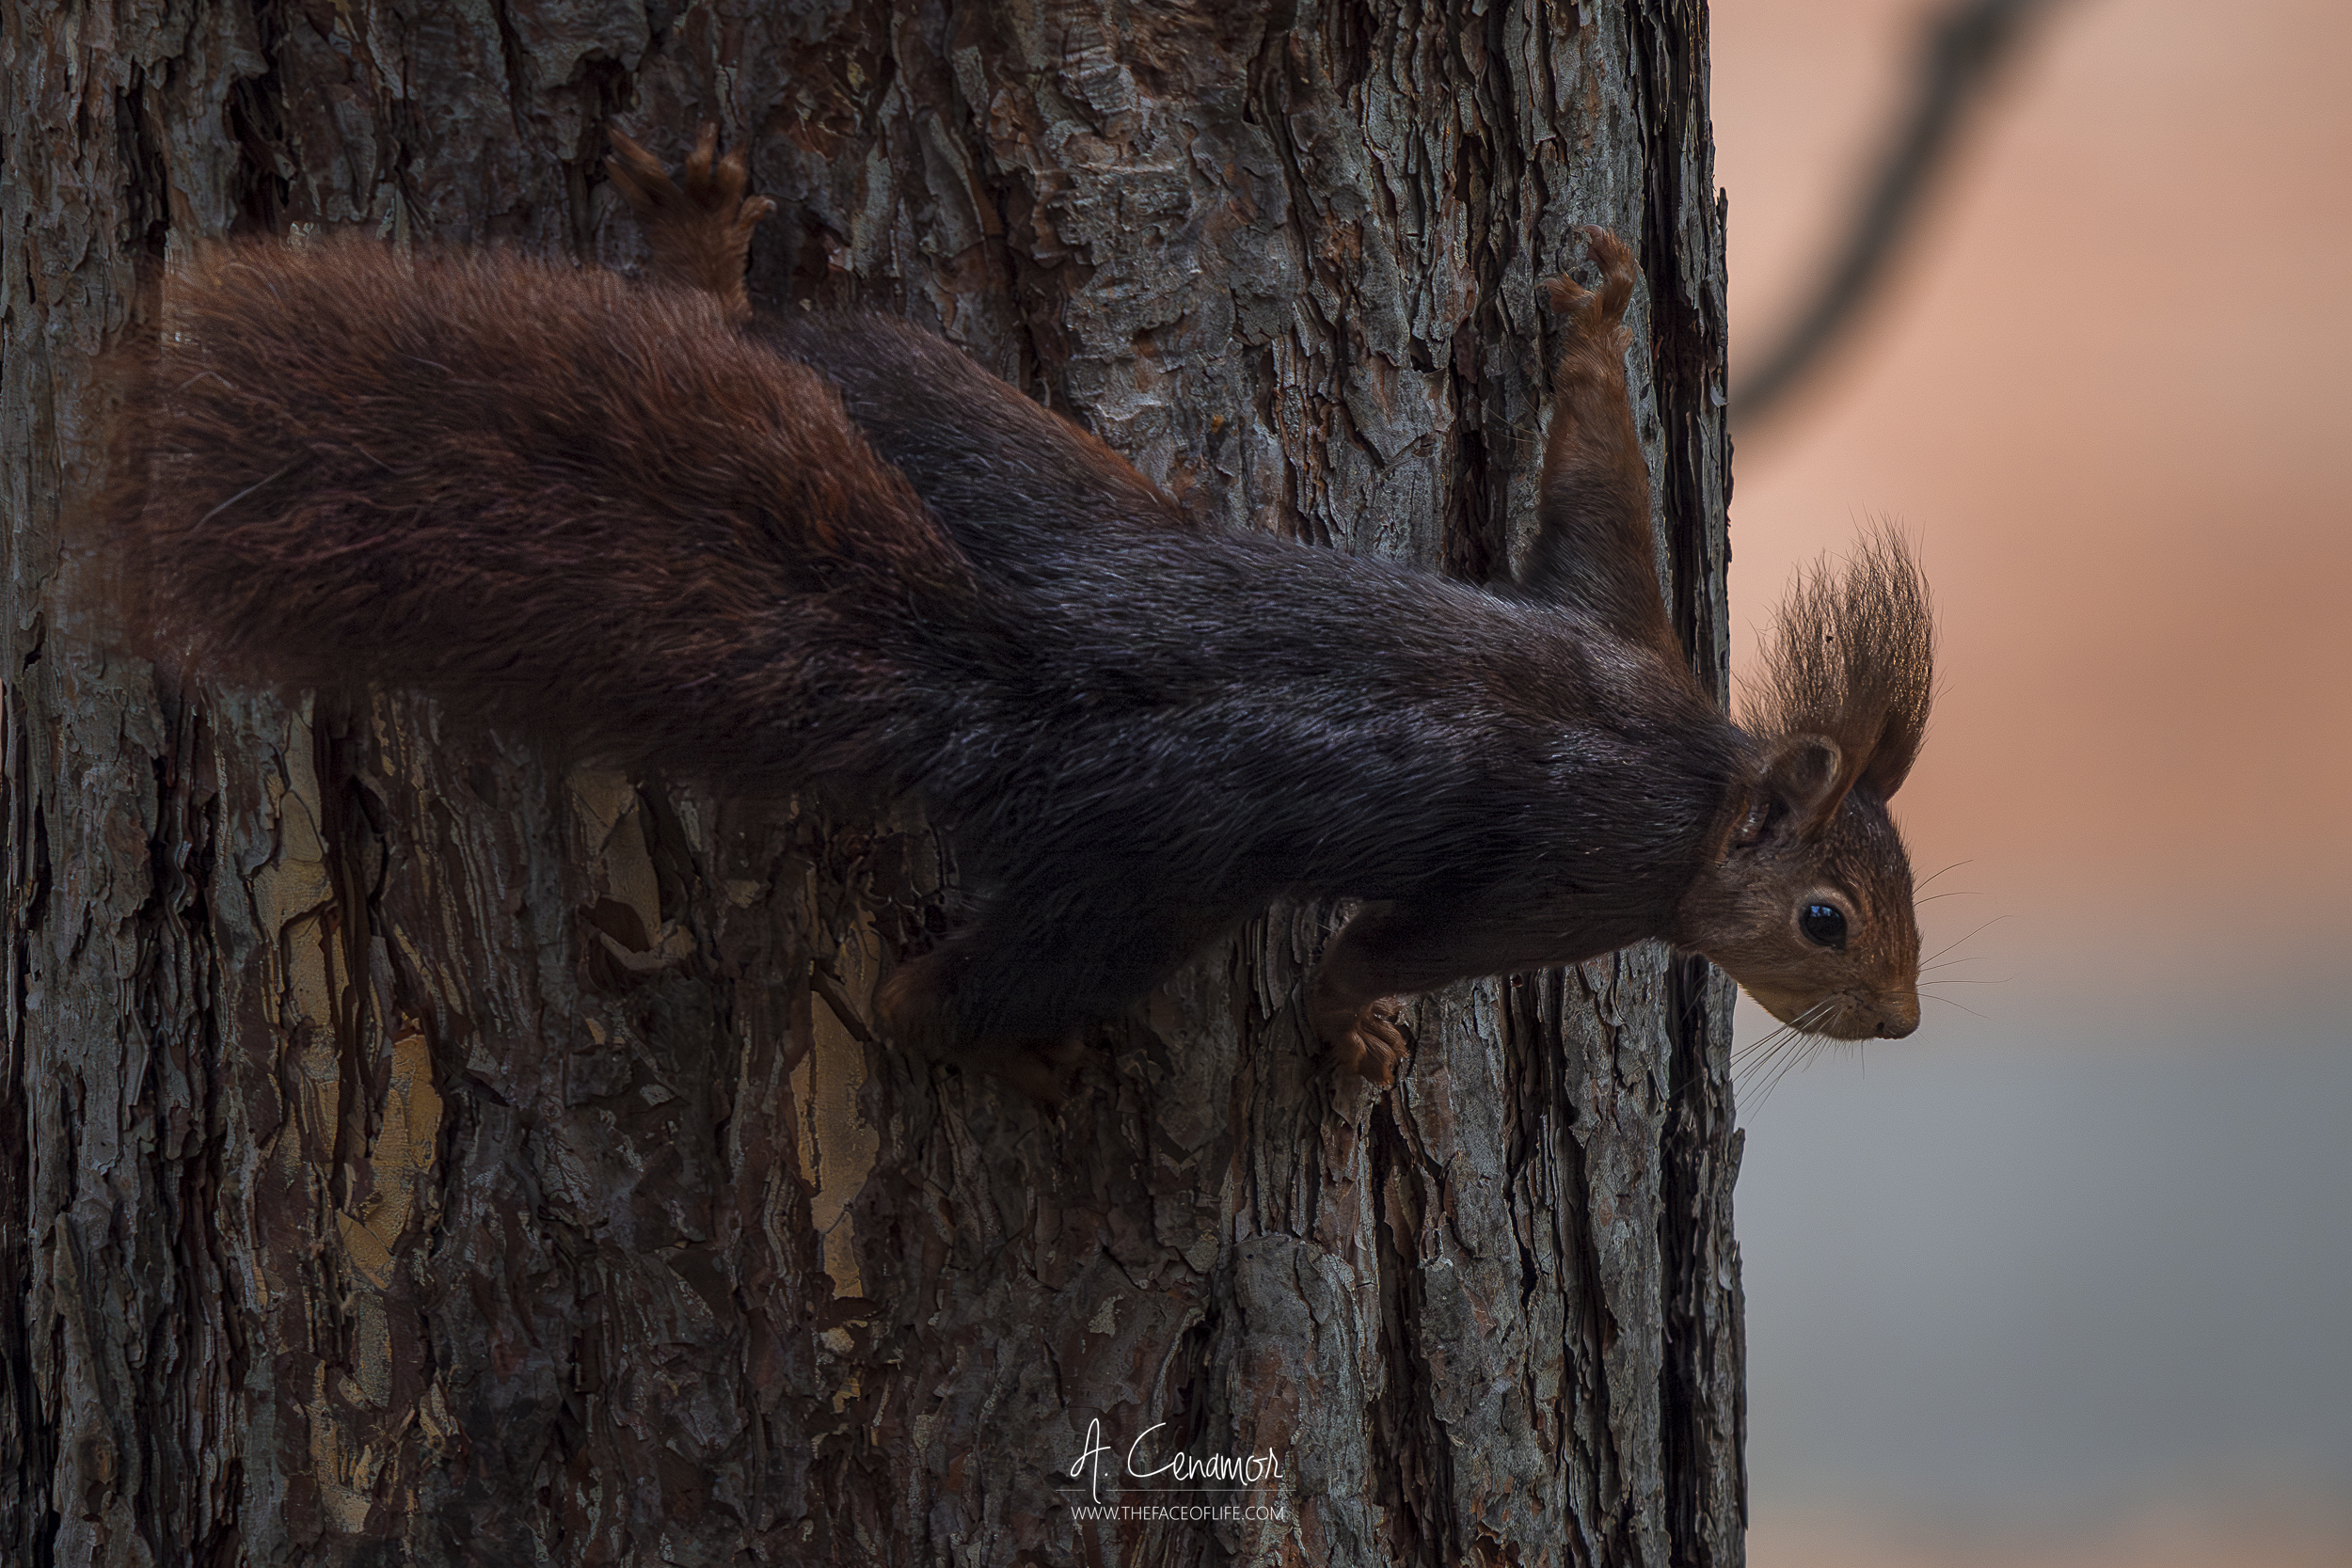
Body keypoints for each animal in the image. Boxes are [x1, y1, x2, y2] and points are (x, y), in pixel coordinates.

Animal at [103, 126, 1935, 1092]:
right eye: (1826, 921)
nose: (1906, 1020)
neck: (1696, 779)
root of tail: (1021, 671)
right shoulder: (1572, 878)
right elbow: (1389, 945)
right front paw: (1351, 1034)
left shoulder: (1616, 625)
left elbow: (1592, 500)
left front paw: (1592, 322)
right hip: (1128, 888)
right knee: (996, 986)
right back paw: (912, 1024)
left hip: (948, 422)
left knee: (773, 346)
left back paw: (699, 257)